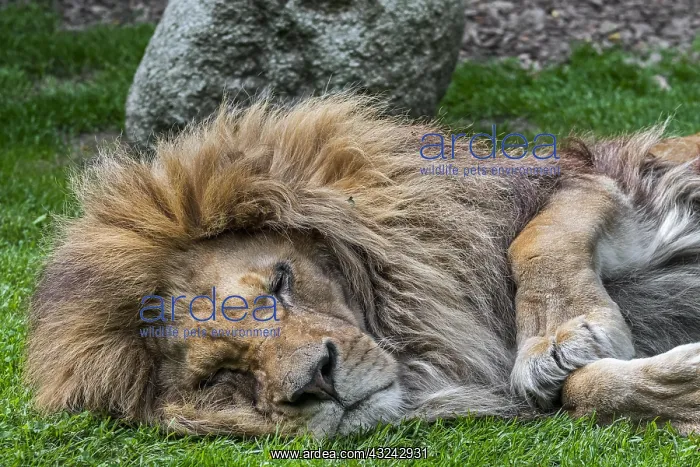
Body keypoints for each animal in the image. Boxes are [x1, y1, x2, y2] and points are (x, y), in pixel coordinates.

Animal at [26, 94, 700, 437]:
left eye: (280, 283)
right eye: (220, 377)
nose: (316, 382)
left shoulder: (615, 186)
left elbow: (535, 239)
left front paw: (561, 339)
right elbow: (585, 393)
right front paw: (684, 387)